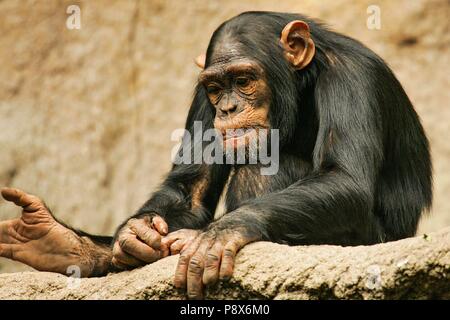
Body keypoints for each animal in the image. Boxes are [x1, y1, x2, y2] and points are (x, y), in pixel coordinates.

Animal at [0, 10, 430, 300]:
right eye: (216, 88)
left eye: (243, 80)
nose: (228, 109)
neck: (304, 83)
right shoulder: (200, 99)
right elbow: (189, 192)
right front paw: (136, 234)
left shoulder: (353, 80)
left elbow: (345, 178)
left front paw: (219, 233)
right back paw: (64, 245)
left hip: (370, 242)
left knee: (264, 164)